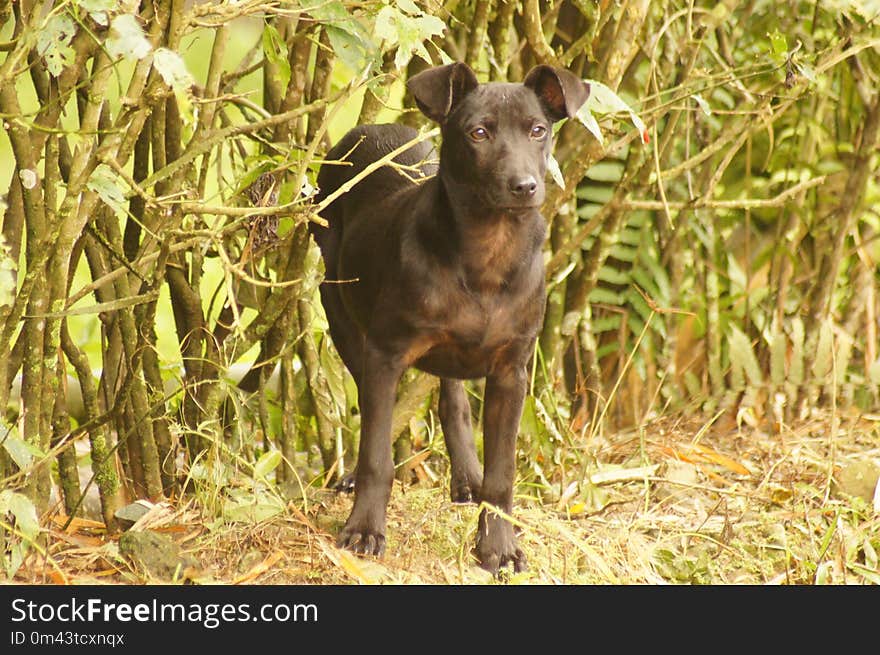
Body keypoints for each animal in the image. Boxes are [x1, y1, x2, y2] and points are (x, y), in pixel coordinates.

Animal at [312, 62, 588, 576]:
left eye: (538, 131)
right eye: (478, 133)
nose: (525, 186)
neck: (489, 251)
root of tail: (373, 128)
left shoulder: (511, 370)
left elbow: (502, 474)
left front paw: (499, 547)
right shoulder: (386, 354)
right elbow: (377, 453)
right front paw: (364, 530)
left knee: (453, 401)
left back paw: (467, 478)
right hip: (339, 308)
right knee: (371, 406)